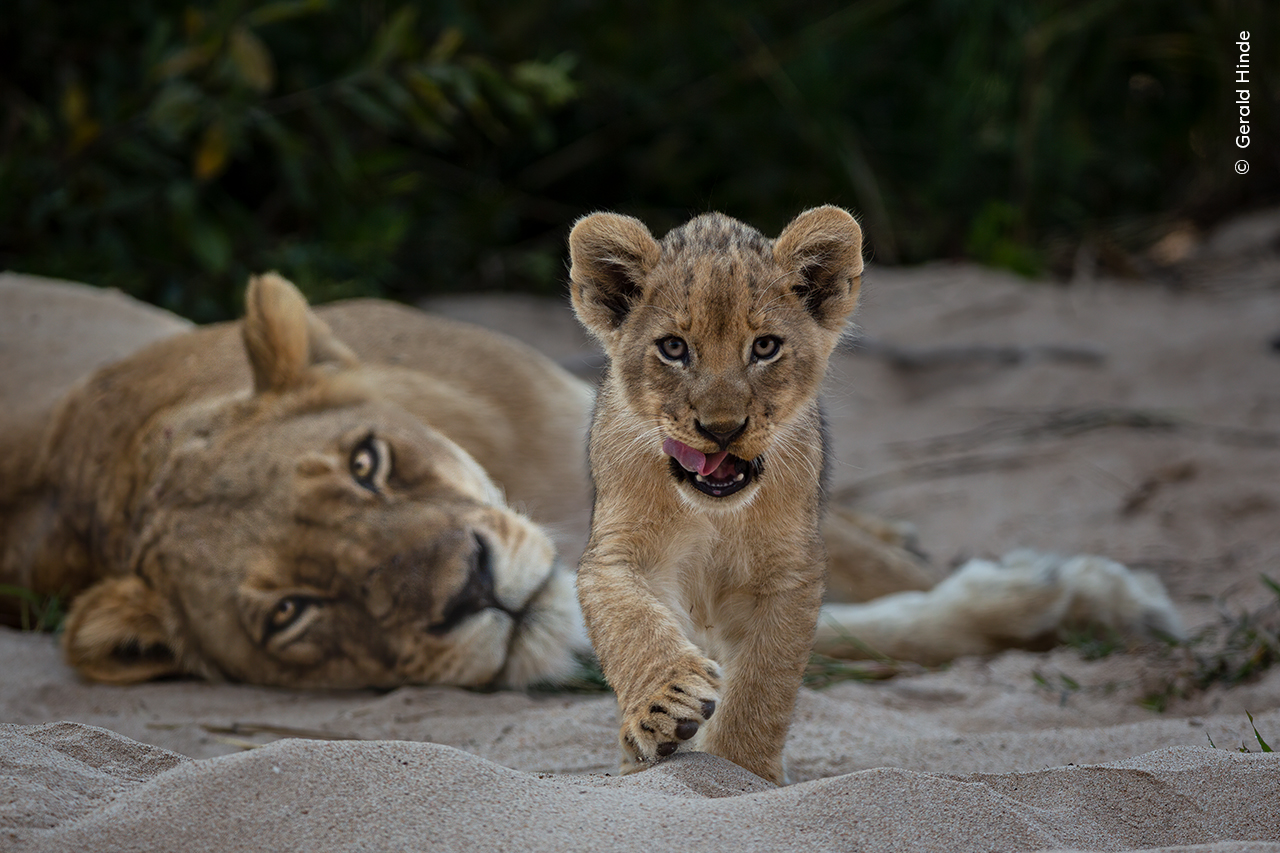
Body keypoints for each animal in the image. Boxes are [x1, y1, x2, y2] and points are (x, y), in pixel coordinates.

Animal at [568, 206, 863, 783]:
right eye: (674, 348)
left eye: (765, 346)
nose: (722, 430)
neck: (716, 514)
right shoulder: (616, 553)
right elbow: (633, 623)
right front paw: (666, 704)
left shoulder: (788, 573)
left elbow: (763, 685)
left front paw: (739, 771)